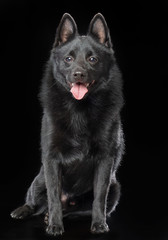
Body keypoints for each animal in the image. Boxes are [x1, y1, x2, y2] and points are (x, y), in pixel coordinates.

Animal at [10, 13, 123, 236]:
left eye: (92, 59)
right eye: (68, 59)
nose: (78, 74)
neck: (79, 109)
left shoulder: (105, 161)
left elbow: (99, 197)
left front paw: (99, 224)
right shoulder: (51, 159)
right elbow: (53, 196)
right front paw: (55, 226)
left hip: (115, 188)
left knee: (78, 211)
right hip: (40, 179)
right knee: (35, 200)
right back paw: (25, 211)